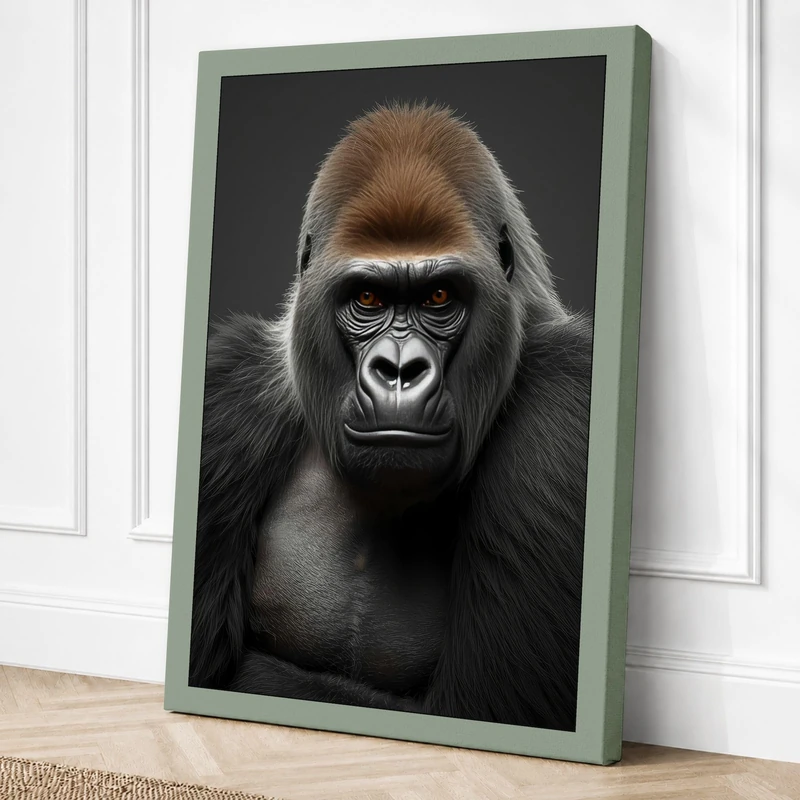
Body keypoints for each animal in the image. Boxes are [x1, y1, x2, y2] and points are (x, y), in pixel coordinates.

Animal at [189, 101, 592, 732]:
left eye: (439, 297)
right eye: (369, 299)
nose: (399, 370)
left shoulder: (563, 410)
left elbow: (480, 703)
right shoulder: (227, 396)